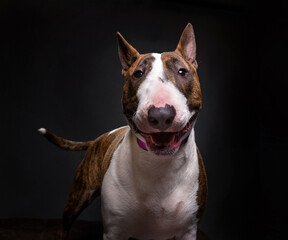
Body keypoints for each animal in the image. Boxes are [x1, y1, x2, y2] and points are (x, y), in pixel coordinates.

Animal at [39, 23, 208, 240]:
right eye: (138, 74)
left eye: (182, 71)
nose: (161, 114)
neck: (159, 165)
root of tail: (99, 138)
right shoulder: (114, 230)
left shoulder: (188, 231)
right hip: (79, 195)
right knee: (65, 222)